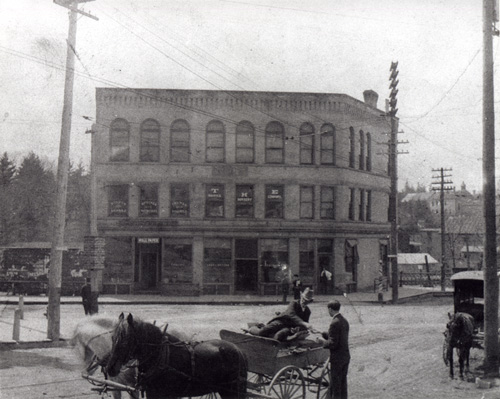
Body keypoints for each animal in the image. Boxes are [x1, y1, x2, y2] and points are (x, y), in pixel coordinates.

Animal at [106, 314, 247, 398]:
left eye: (126, 341)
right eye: (112, 338)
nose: (110, 368)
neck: (159, 355)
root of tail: (239, 350)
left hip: (232, 390)